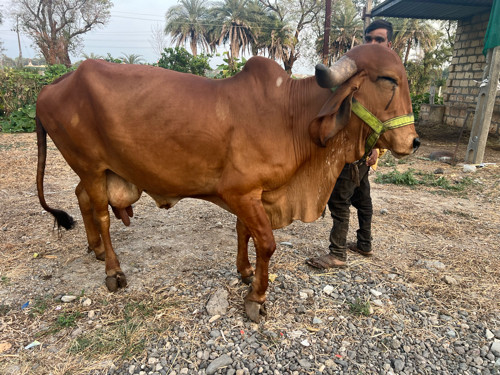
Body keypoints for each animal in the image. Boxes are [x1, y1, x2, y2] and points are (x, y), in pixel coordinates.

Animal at [34, 42, 418, 322]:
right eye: (388, 79)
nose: (413, 142)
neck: (291, 115)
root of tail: (52, 85)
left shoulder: (252, 195)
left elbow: (243, 232)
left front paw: (245, 271)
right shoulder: (242, 193)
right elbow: (266, 243)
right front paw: (256, 298)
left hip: (94, 172)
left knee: (81, 197)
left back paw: (96, 249)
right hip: (91, 167)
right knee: (100, 214)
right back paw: (113, 271)